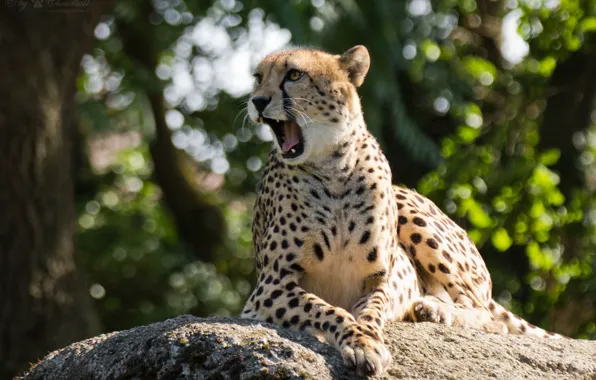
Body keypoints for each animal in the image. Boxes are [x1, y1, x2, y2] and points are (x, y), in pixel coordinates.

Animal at [239, 46, 560, 376]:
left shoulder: (378, 280)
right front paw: (361, 344)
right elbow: (330, 310)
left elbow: (370, 312)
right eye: (258, 78)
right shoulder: (269, 289)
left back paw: (433, 308)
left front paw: (367, 341)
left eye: (294, 75)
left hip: (408, 208)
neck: (333, 168)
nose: (257, 101)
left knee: (486, 314)